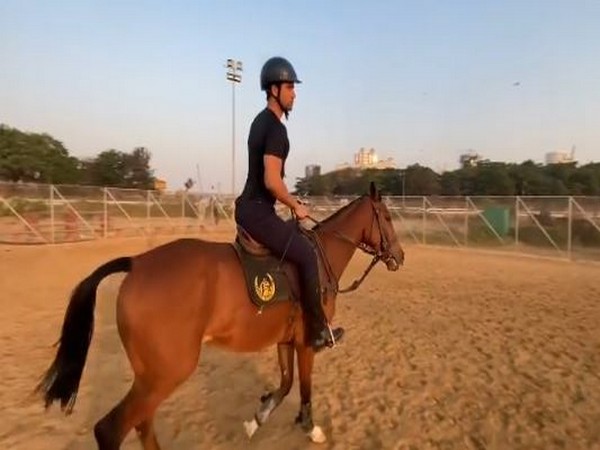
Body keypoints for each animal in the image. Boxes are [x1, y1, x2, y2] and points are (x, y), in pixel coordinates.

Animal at [36, 184, 404, 450]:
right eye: (386, 217)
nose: (399, 256)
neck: (319, 256)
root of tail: (137, 263)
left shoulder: (286, 340)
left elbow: (285, 385)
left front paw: (257, 418)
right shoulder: (307, 342)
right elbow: (304, 388)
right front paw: (311, 428)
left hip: (149, 377)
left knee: (142, 424)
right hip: (167, 373)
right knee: (111, 429)